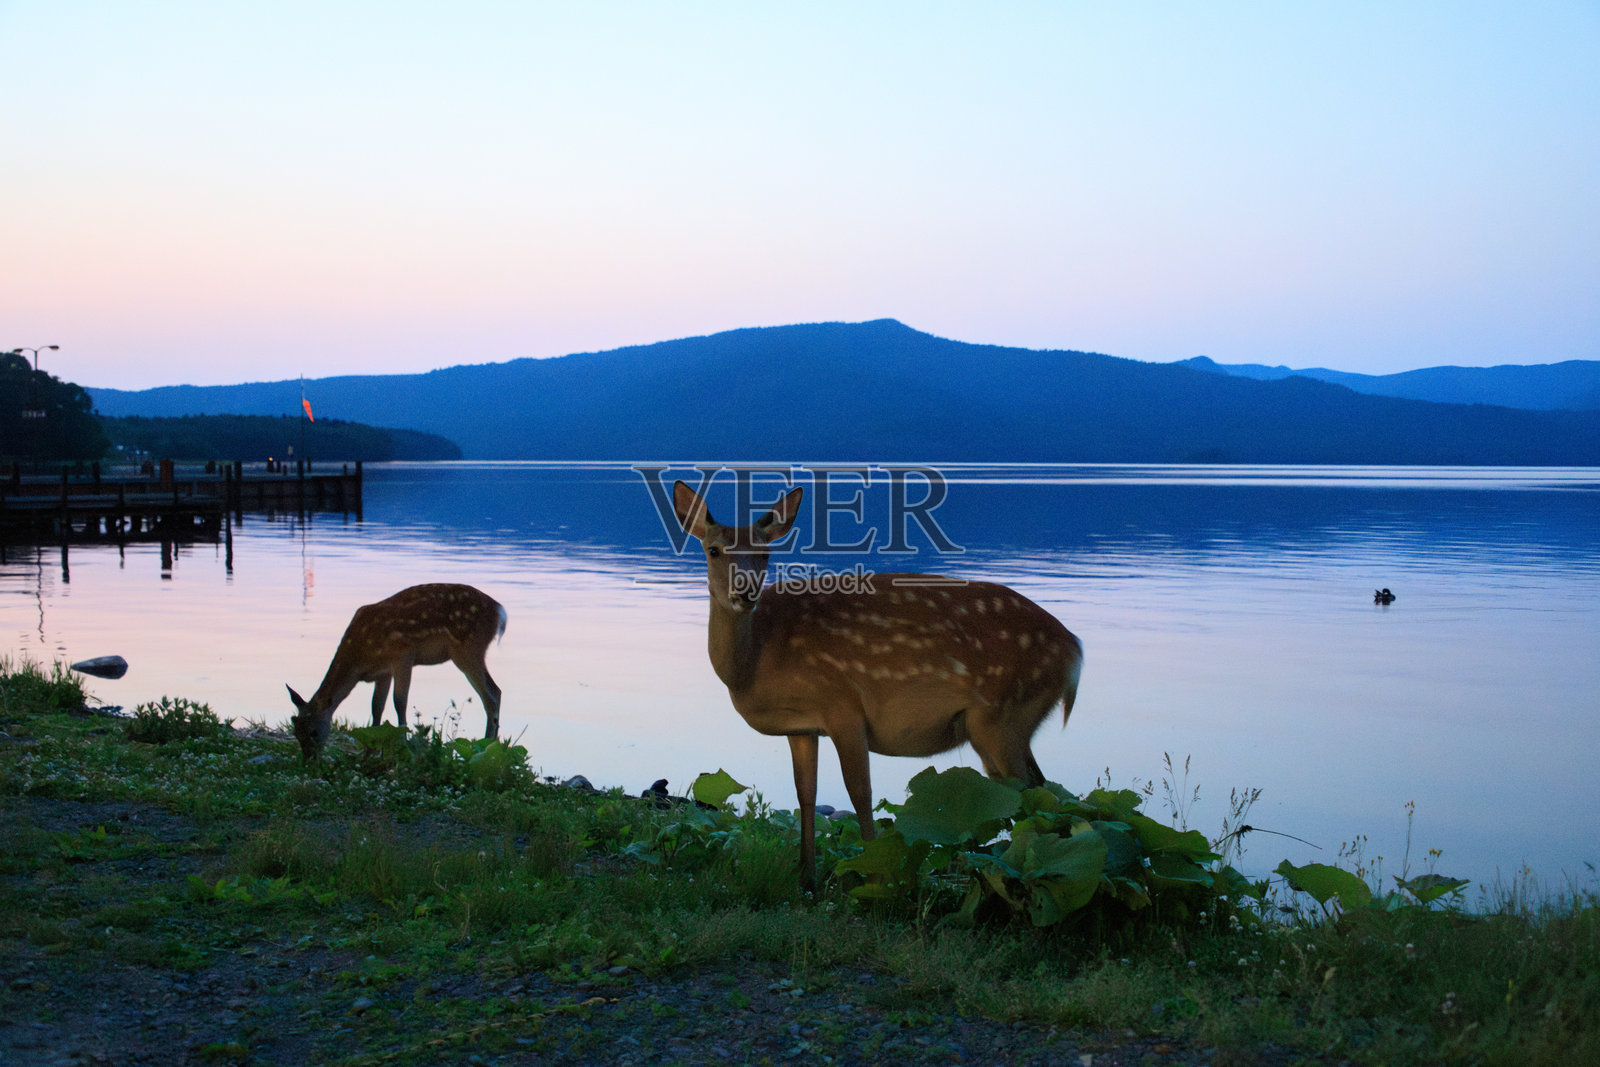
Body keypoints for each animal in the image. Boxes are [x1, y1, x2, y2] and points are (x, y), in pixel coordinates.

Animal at [287, 583, 506, 759]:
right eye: (295, 731)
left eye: (314, 732)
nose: (308, 760)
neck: (359, 657)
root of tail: (500, 611)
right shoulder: (382, 672)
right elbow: (376, 707)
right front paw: (371, 750)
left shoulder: (403, 655)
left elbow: (399, 701)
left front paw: (404, 745)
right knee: (496, 691)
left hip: (467, 648)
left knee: (491, 695)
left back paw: (486, 745)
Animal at [672, 481, 1084, 890]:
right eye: (713, 549)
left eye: (765, 553)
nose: (745, 593)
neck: (755, 662)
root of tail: (1074, 651)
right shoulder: (803, 725)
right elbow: (806, 793)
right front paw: (807, 876)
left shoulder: (843, 706)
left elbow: (860, 792)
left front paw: (873, 875)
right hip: (995, 727)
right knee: (1039, 790)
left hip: (1003, 714)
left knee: (1034, 793)